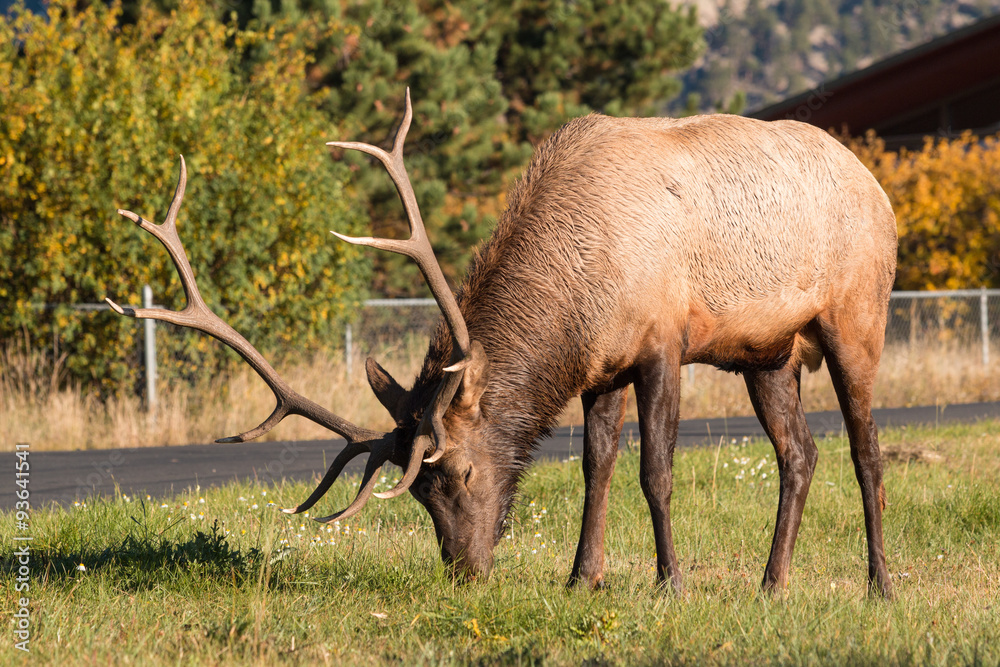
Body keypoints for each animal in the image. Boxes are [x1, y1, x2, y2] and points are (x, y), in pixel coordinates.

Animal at [108, 90, 897, 597]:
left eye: (457, 472)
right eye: (418, 493)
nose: (465, 572)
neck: (584, 281)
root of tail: (880, 189)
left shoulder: (661, 344)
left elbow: (655, 471)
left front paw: (669, 583)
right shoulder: (601, 368)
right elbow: (595, 467)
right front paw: (583, 577)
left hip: (856, 318)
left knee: (865, 450)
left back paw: (879, 584)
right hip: (769, 353)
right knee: (801, 453)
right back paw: (772, 583)